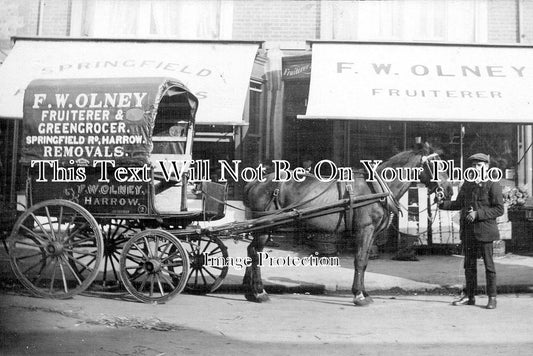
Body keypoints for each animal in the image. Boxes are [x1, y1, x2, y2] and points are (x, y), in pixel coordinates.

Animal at [243, 143, 450, 304]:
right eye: (436, 164)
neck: (377, 188)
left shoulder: (372, 233)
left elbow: (365, 261)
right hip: (266, 226)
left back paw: (250, 290)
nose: (448, 190)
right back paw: (259, 292)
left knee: (251, 251)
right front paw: (359, 295)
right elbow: (359, 260)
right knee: (255, 253)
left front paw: (364, 292)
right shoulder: (364, 229)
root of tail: (256, 182)